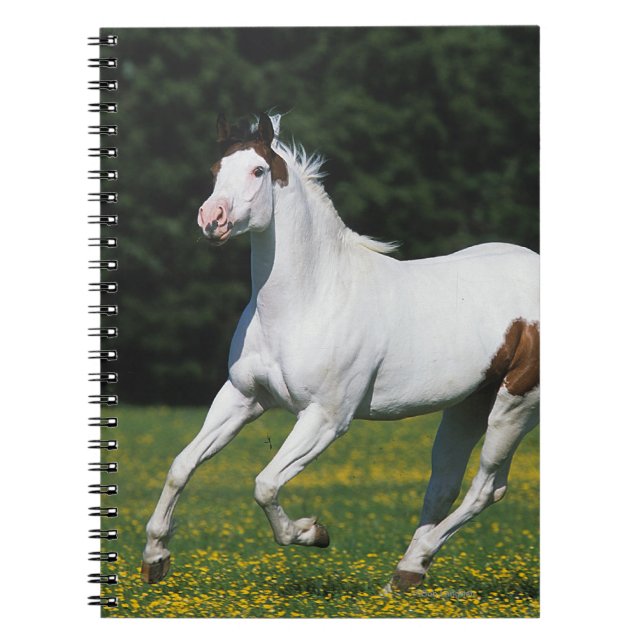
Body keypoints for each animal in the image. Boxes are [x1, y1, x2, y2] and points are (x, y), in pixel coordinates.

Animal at [141, 112, 540, 592]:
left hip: (515, 405)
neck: (310, 298)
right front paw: (155, 558)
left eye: (258, 170)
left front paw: (313, 532)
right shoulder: (242, 398)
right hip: (467, 405)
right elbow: (181, 465)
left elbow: (265, 484)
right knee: (443, 484)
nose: (211, 219)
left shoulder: (326, 418)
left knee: (486, 488)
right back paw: (405, 574)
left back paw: (414, 563)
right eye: (216, 169)